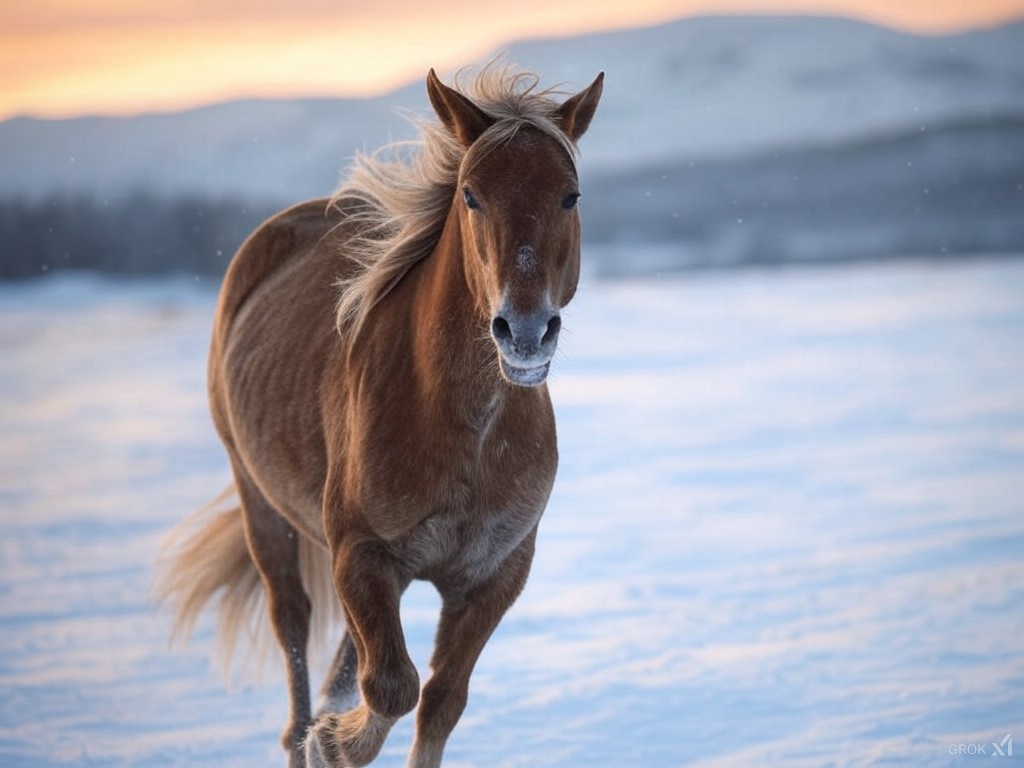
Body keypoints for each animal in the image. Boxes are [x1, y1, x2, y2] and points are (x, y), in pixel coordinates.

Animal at [155, 65, 603, 768]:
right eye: (471, 196)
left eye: (570, 196)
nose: (526, 333)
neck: (466, 428)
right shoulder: (362, 554)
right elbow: (393, 685)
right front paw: (335, 743)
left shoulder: (496, 574)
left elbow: (441, 701)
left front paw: (338, 737)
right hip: (262, 507)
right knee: (296, 637)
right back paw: (308, 733)